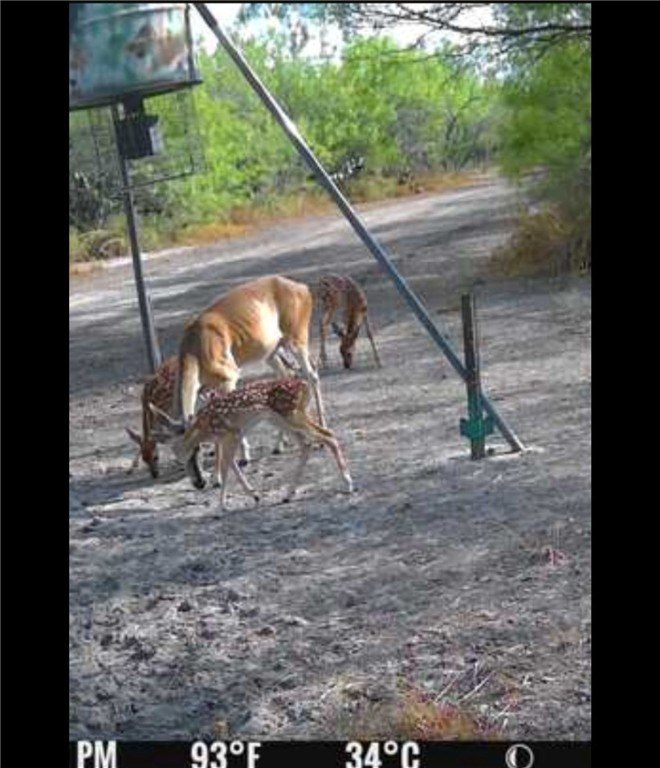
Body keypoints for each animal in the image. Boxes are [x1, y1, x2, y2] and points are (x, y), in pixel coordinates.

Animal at [151, 378, 353, 509]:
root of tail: (305, 386)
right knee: (306, 445)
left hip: (293, 414)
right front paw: (254, 496)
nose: (198, 482)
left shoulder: (230, 433)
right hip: (281, 420)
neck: (205, 428)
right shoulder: (230, 436)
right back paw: (287, 495)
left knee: (328, 435)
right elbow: (232, 464)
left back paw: (348, 483)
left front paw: (222, 505)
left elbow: (226, 466)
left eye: (195, 451)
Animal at [174, 275, 326, 489]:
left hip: (297, 338)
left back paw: (319, 435)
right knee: (288, 375)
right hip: (272, 352)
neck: (196, 349)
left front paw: (229, 468)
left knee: (312, 375)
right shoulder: (204, 389)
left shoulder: (229, 376)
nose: (199, 482)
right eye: (178, 456)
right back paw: (279, 445)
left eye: (199, 447)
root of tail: (303, 288)